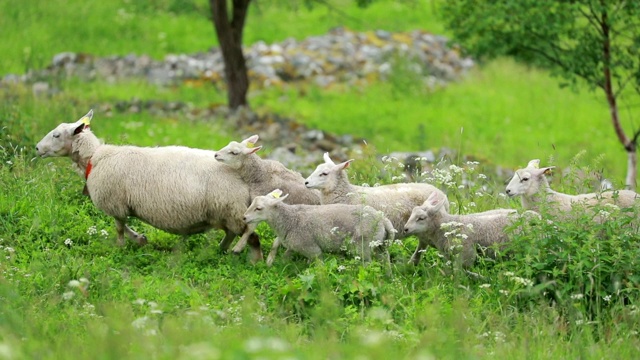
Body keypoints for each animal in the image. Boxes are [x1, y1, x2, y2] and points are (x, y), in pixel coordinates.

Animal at [33, 109, 264, 262]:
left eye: (56, 135)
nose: (36, 148)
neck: (95, 158)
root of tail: (244, 174)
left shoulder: (116, 203)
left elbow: (119, 227)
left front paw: (121, 247)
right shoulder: (121, 205)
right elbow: (124, 226)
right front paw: (140, 239)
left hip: (232, 209)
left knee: (252, 236)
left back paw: (256, 261)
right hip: (225, 211)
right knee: (232, 233)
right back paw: (220, 250)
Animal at [242, 188, 396, 268]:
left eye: (259, 208)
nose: (244, 218)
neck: (290, 219)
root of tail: (382, 218)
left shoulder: (312, 249)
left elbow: (319, 268)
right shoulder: (294, 246)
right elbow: (285, 257)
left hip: (364, 245)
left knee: (368, 264)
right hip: (380, 243)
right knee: (385, 257)